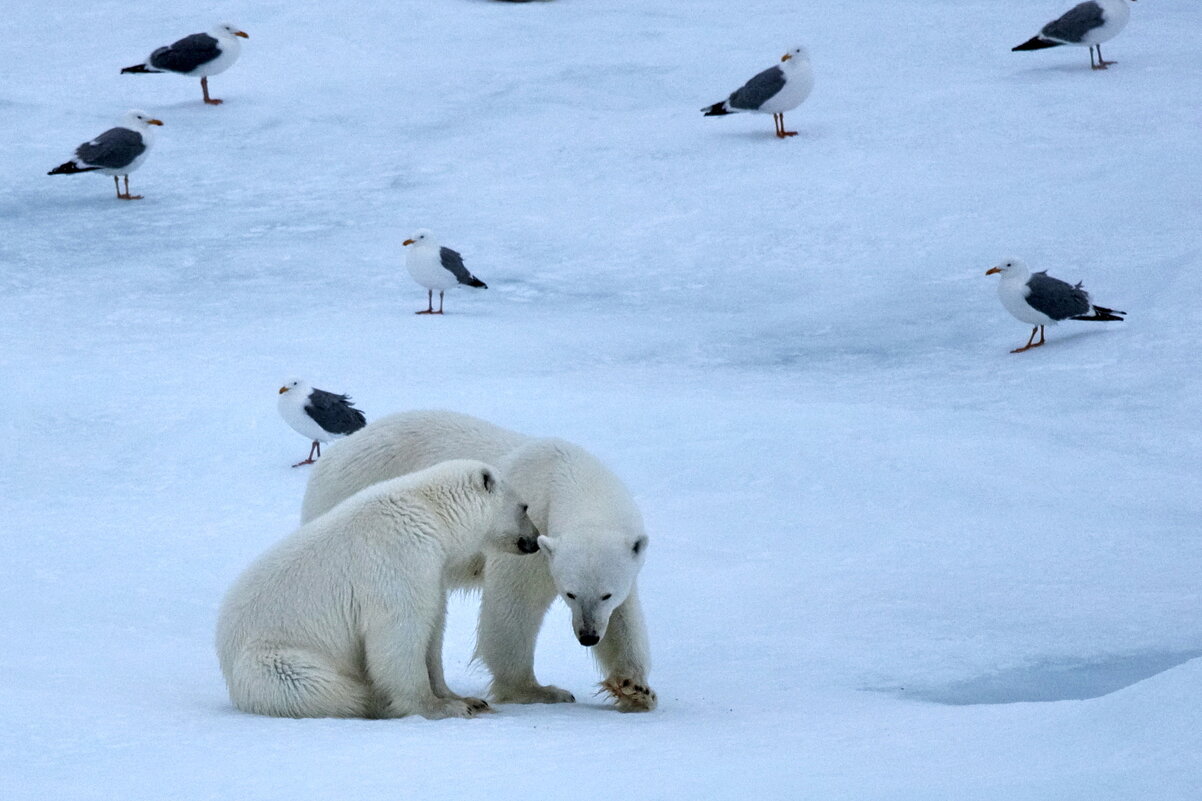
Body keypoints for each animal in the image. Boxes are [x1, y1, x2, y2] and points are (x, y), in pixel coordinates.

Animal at [213, 454, 538, 716]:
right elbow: (400, 632)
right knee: (318, 685)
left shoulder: (433, 570)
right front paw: (442, 707)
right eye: (525, 507)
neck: (431, 511)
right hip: (272, 659)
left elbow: (433, 629)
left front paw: (467, 699)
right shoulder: (400, 556)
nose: (534, 541)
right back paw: (374, 701)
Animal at [300, 411, 658, 712]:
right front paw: (539, 690)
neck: (566, 473)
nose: (587, 636)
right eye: (570, 593)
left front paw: (634, 687)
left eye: (607, 594)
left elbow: (624, 620)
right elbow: (514, 606)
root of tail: (331, 457)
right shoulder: (528, 535)